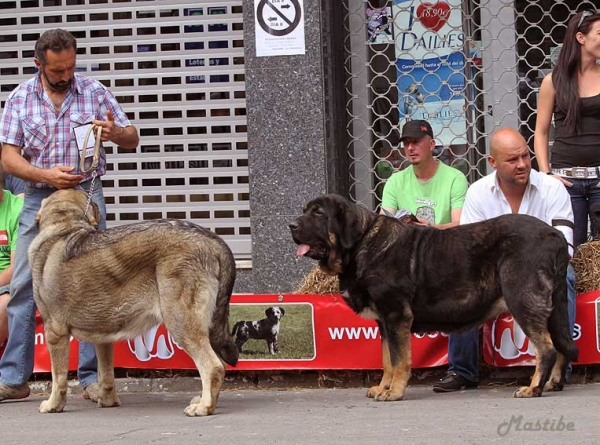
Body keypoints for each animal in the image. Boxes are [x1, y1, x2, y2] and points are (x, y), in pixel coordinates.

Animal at [28, 189, 239, 414]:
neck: (63, 225)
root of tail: (212, 240)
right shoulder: (103, 339)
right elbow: (106, 375)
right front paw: (108, 401)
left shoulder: (54, 333)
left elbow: (58, 378)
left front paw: (53, 405)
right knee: (219, 364)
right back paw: (204, 400)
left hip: (180, 323)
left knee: (213, 366)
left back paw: (203, 407)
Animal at [288, 193, 580, 398]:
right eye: (304, 211)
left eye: (318, 213)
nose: (291, 225)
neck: (361, 243)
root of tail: (554, 234)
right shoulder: (385, 322)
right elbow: (387, 360)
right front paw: (383, 387)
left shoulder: (396, 315)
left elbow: (400, 360)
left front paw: (394, 392)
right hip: (552, 308)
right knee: (560, 344)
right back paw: (553, 382)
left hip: (521, 299)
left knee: (546, 348)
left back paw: (534, 387)